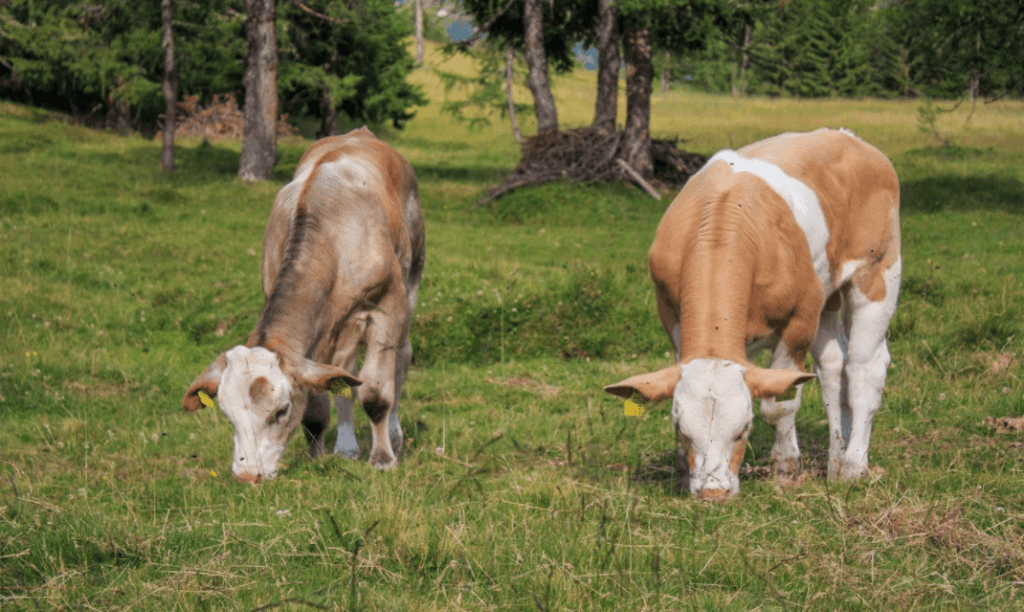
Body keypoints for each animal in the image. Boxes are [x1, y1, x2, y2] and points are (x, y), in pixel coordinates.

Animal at [183, 128, 423, 485]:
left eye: (281, 411)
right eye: (227, 415)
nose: (247, 475)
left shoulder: (386, 307)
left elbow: (376, 393)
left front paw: (382, 459)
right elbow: (318, 403)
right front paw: (315, 456)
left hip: (411, 284)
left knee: (401, 360)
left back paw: (393, 437)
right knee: (345, 377)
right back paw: (347, 448)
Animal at [602, 126, 901, 501]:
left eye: (743, 430)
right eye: (682, 430)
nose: (713, 492)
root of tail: (848, 137)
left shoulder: (800, 319)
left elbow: (781, 403)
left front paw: (786, 467)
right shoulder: (671, 316)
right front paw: (683, 472)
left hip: (878, 271)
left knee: (864, 366)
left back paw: (853, 465)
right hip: (827, 293)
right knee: (834, 366)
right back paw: (836, 459)